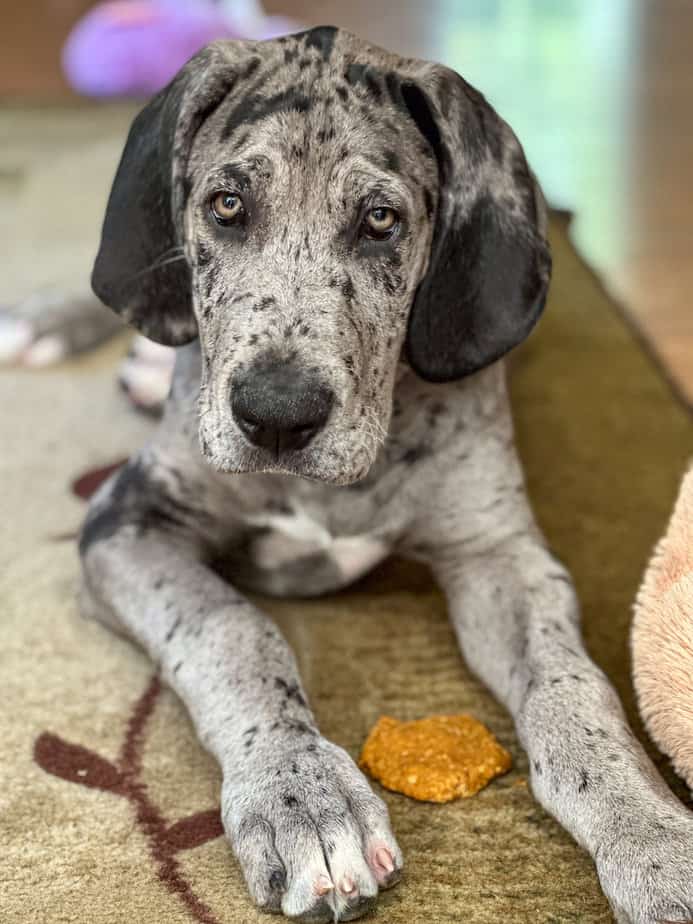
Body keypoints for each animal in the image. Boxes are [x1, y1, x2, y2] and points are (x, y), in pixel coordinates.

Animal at [75, 25, 692, 920]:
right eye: (226, 205)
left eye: (379, 220)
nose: (276, 416)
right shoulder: (126, 520)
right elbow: (231, 626)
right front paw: (300, 794)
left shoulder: (499, 552)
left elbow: (574, 690)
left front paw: (653, 836)